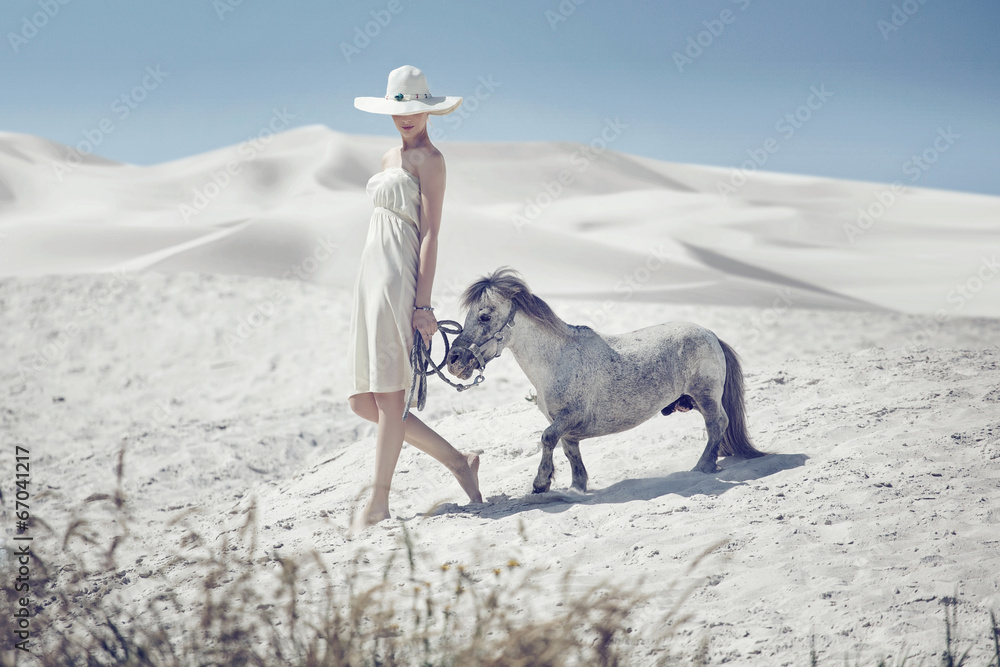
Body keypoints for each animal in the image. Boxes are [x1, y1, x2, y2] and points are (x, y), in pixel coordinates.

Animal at [445, 268, 765, 494]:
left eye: (484, 316)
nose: (455, 360)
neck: (558, 360)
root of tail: (710, 334)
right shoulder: (567, 428)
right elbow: (570, 452)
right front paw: (577, 487)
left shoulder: (569, 417)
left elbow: (547, 438)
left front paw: (541, 483)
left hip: (705, 395)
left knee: (717, 424)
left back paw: (702, 466)